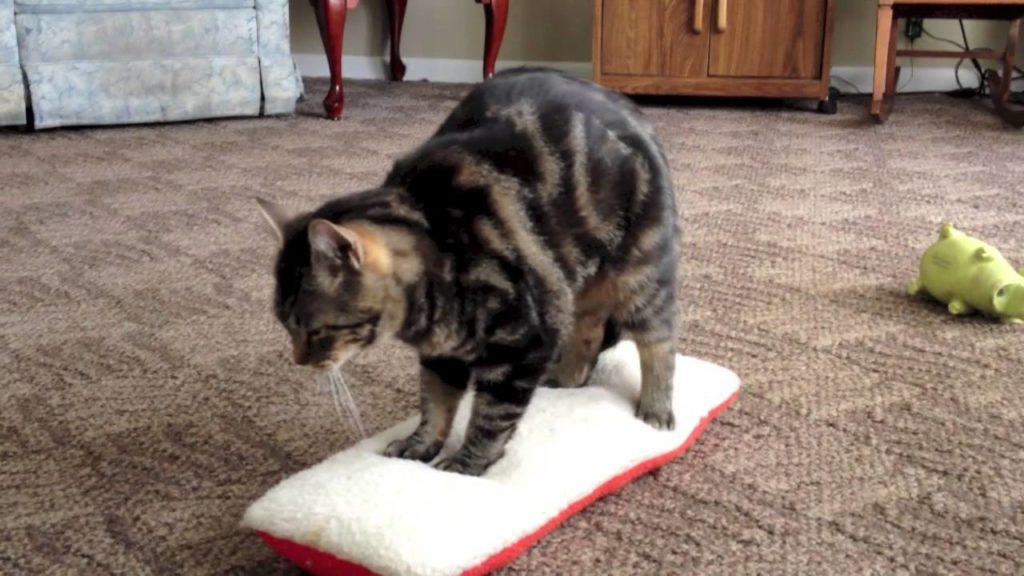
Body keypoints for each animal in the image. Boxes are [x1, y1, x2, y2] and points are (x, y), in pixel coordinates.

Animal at [258, 67, 679, 473]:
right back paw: (565, 380)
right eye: (284, 326)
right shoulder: (442, 354)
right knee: (589, 332)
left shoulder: (524, 344)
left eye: (313, 330)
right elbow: (436, 405)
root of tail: (629, 106)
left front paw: (465, 465)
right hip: (578, 284)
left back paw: (656, 408)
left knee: (658, 341)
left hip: (639, 274)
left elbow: (491, 419)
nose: (298, 360)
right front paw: (419, 446)